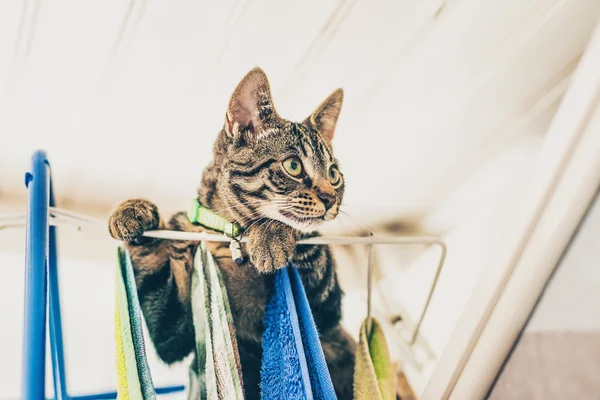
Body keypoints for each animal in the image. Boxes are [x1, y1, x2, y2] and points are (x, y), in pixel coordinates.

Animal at [109, 69, 356, 400]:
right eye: (293, 166)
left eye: (333, 174)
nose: (331, 199)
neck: (228, 236)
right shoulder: (173, 332)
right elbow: (158, 280)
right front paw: (135, 211)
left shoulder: (328, 311)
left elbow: (307, 239)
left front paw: (271, 234)